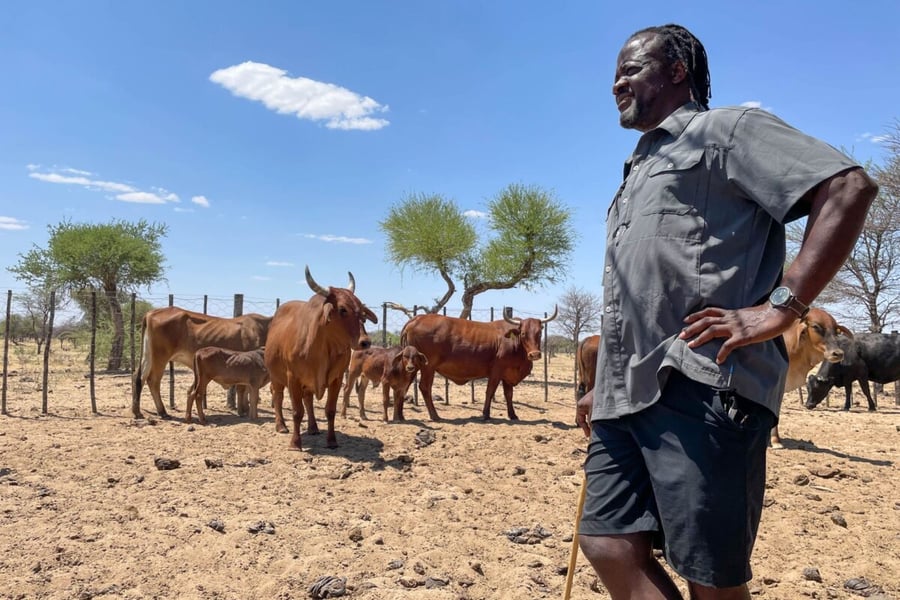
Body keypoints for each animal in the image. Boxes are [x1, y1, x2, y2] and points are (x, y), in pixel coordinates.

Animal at [131, 307, 271, 420]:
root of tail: (151, 312)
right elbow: (245, 390)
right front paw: (245, 411)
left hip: (148, 354)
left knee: (138, 377)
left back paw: (137, 411)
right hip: (160, 357)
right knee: (153, 380)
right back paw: (162, 412)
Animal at [265, 267, 378, 450]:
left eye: (361, 310)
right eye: (342, 309)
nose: (365, 342)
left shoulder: (336, 379)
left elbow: (330, 410)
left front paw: (332, 441)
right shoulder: (293, 378)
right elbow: (297, 412)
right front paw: (295, 443)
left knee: (308, 400)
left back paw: (313, 428)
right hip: (276, 376)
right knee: (278, 396)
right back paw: (281, 425)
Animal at [399, 307, 558, 421]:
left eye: (539, 333)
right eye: (523, 333)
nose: (535, 354)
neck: (515, 344)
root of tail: (416, 319)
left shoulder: (507, 375)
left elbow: (509, 395)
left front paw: (512, 415)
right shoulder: (496, 371)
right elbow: (490, 391)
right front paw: (485, 414)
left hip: (412, 366)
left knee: (404, 386)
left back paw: (400, 416)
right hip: (428, 367)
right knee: (425, 387)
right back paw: (434, 415)